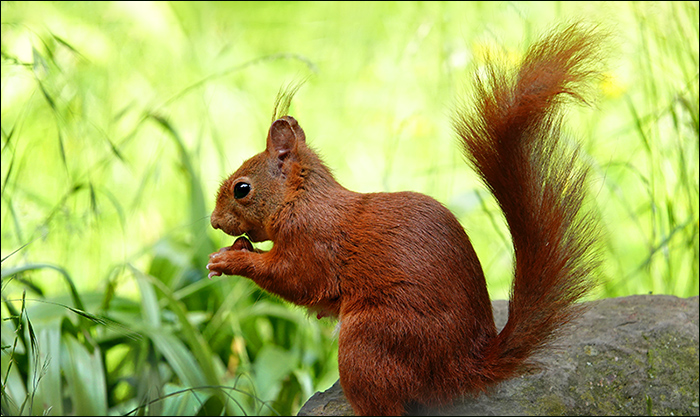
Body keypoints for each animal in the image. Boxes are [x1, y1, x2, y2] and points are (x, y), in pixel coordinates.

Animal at [207, 22, 603, 416]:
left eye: (241, 189)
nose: (212, 221)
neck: (300, 200)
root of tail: (464, 368)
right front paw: (237, 247)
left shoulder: (313, 242)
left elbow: (294, 279)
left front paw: (230, 260)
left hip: (368, 341)